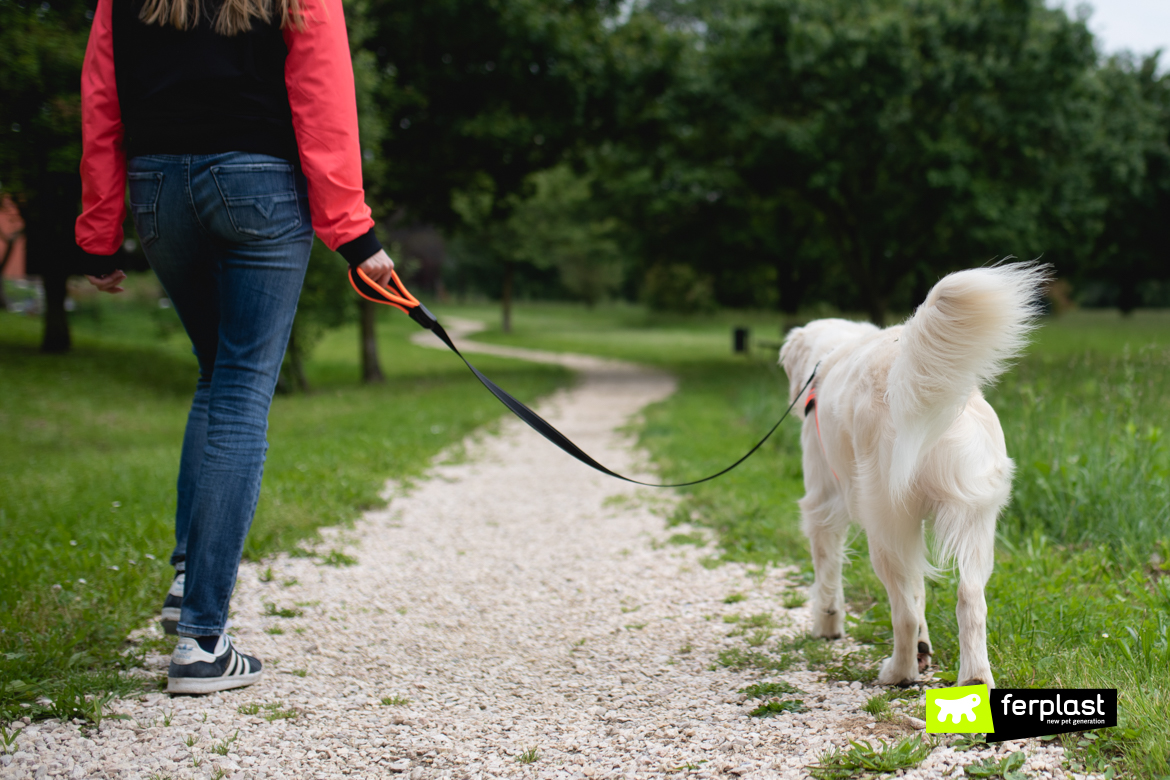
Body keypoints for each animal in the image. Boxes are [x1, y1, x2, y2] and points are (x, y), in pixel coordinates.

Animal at [781, 265, 1048, 687]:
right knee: (970, 600)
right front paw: (926, 644)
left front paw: (827, 624)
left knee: (902, 612)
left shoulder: (822, 502)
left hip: (884, 524)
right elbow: (921, 589)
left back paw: (898, 672)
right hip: (976, 521)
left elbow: (828, 572)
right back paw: (974, 678)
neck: (833, 355)